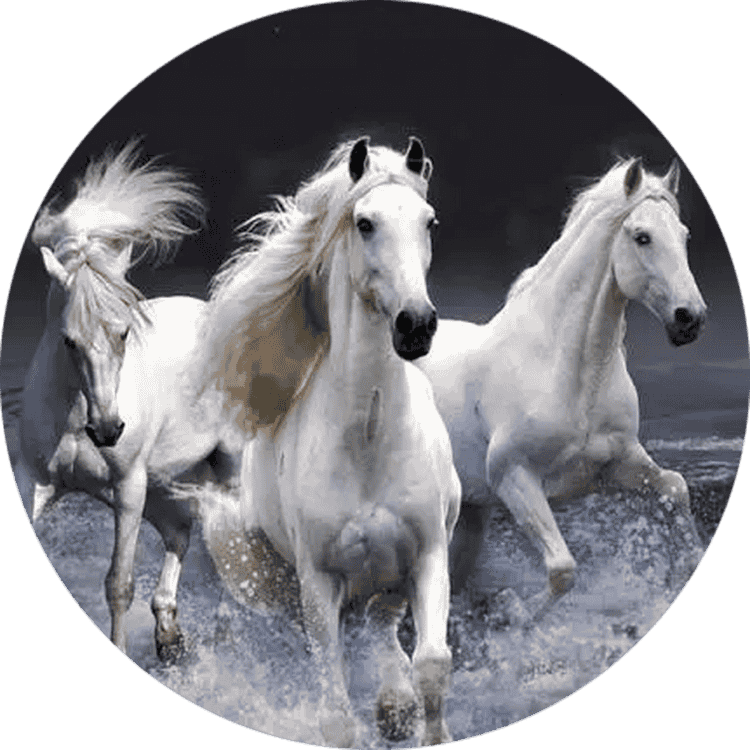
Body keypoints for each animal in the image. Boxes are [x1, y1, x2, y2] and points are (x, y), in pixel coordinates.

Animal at [18, 142, 239, 660]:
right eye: (68, 340)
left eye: (122, 333)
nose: (107, 429)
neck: (74, 415)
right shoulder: (33, 480)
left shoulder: (127, 488)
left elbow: (119, 585)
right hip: (161, 485)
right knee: (181, 532)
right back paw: (169, 634)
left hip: (223, 468)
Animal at [196, 138, 461, 747]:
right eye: (364, 223)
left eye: (429, 221)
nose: (416, 325)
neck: (368, 439)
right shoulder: (318, 581)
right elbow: (335, 710)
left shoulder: (428, 555)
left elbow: (433, 663)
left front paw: (426, 728)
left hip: (388, 582)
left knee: (385, 635)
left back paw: (394, 705)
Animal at [418, 158, 707, 615]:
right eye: (642, 237)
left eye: (683, 235)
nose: (690, 318)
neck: (567, 372)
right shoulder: (515, 478)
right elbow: (563, 569)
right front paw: (513, 613)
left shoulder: (618, 464)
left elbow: (675, 486)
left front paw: (689, 564)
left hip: (470, 515)